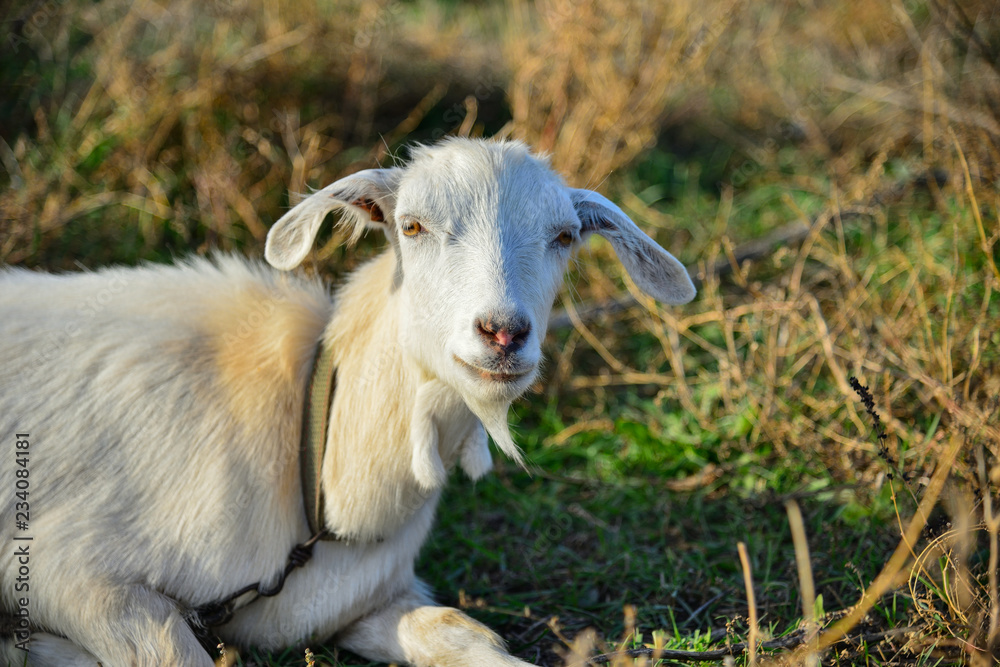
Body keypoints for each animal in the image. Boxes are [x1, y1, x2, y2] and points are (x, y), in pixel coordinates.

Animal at [0, 138, 695, 666]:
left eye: (565, 236)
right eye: (410, 226)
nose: (502, 333)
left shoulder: (365, 601)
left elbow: (460, 632)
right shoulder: (76, 573)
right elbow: (172, 651)